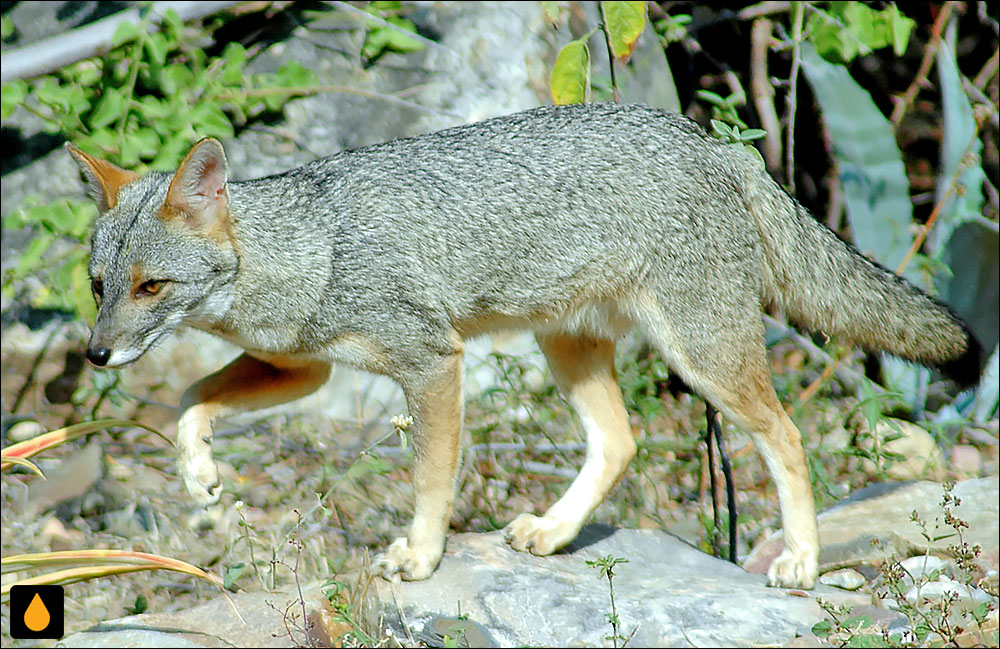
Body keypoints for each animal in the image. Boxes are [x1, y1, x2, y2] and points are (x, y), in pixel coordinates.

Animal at [70, 101, 984, 588]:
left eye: (152, 287)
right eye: (99, 285)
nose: (95, 356)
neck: (310, 247)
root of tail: (711, 139)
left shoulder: (430, 362)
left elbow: (431, 475)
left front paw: (421, 553)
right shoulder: (306, 366)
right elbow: (190, 397)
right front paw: (199, 475)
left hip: (702, 356)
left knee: (786, 433)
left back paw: (800, 558)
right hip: (569, 349)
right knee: (621, 441)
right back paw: (553, 529)